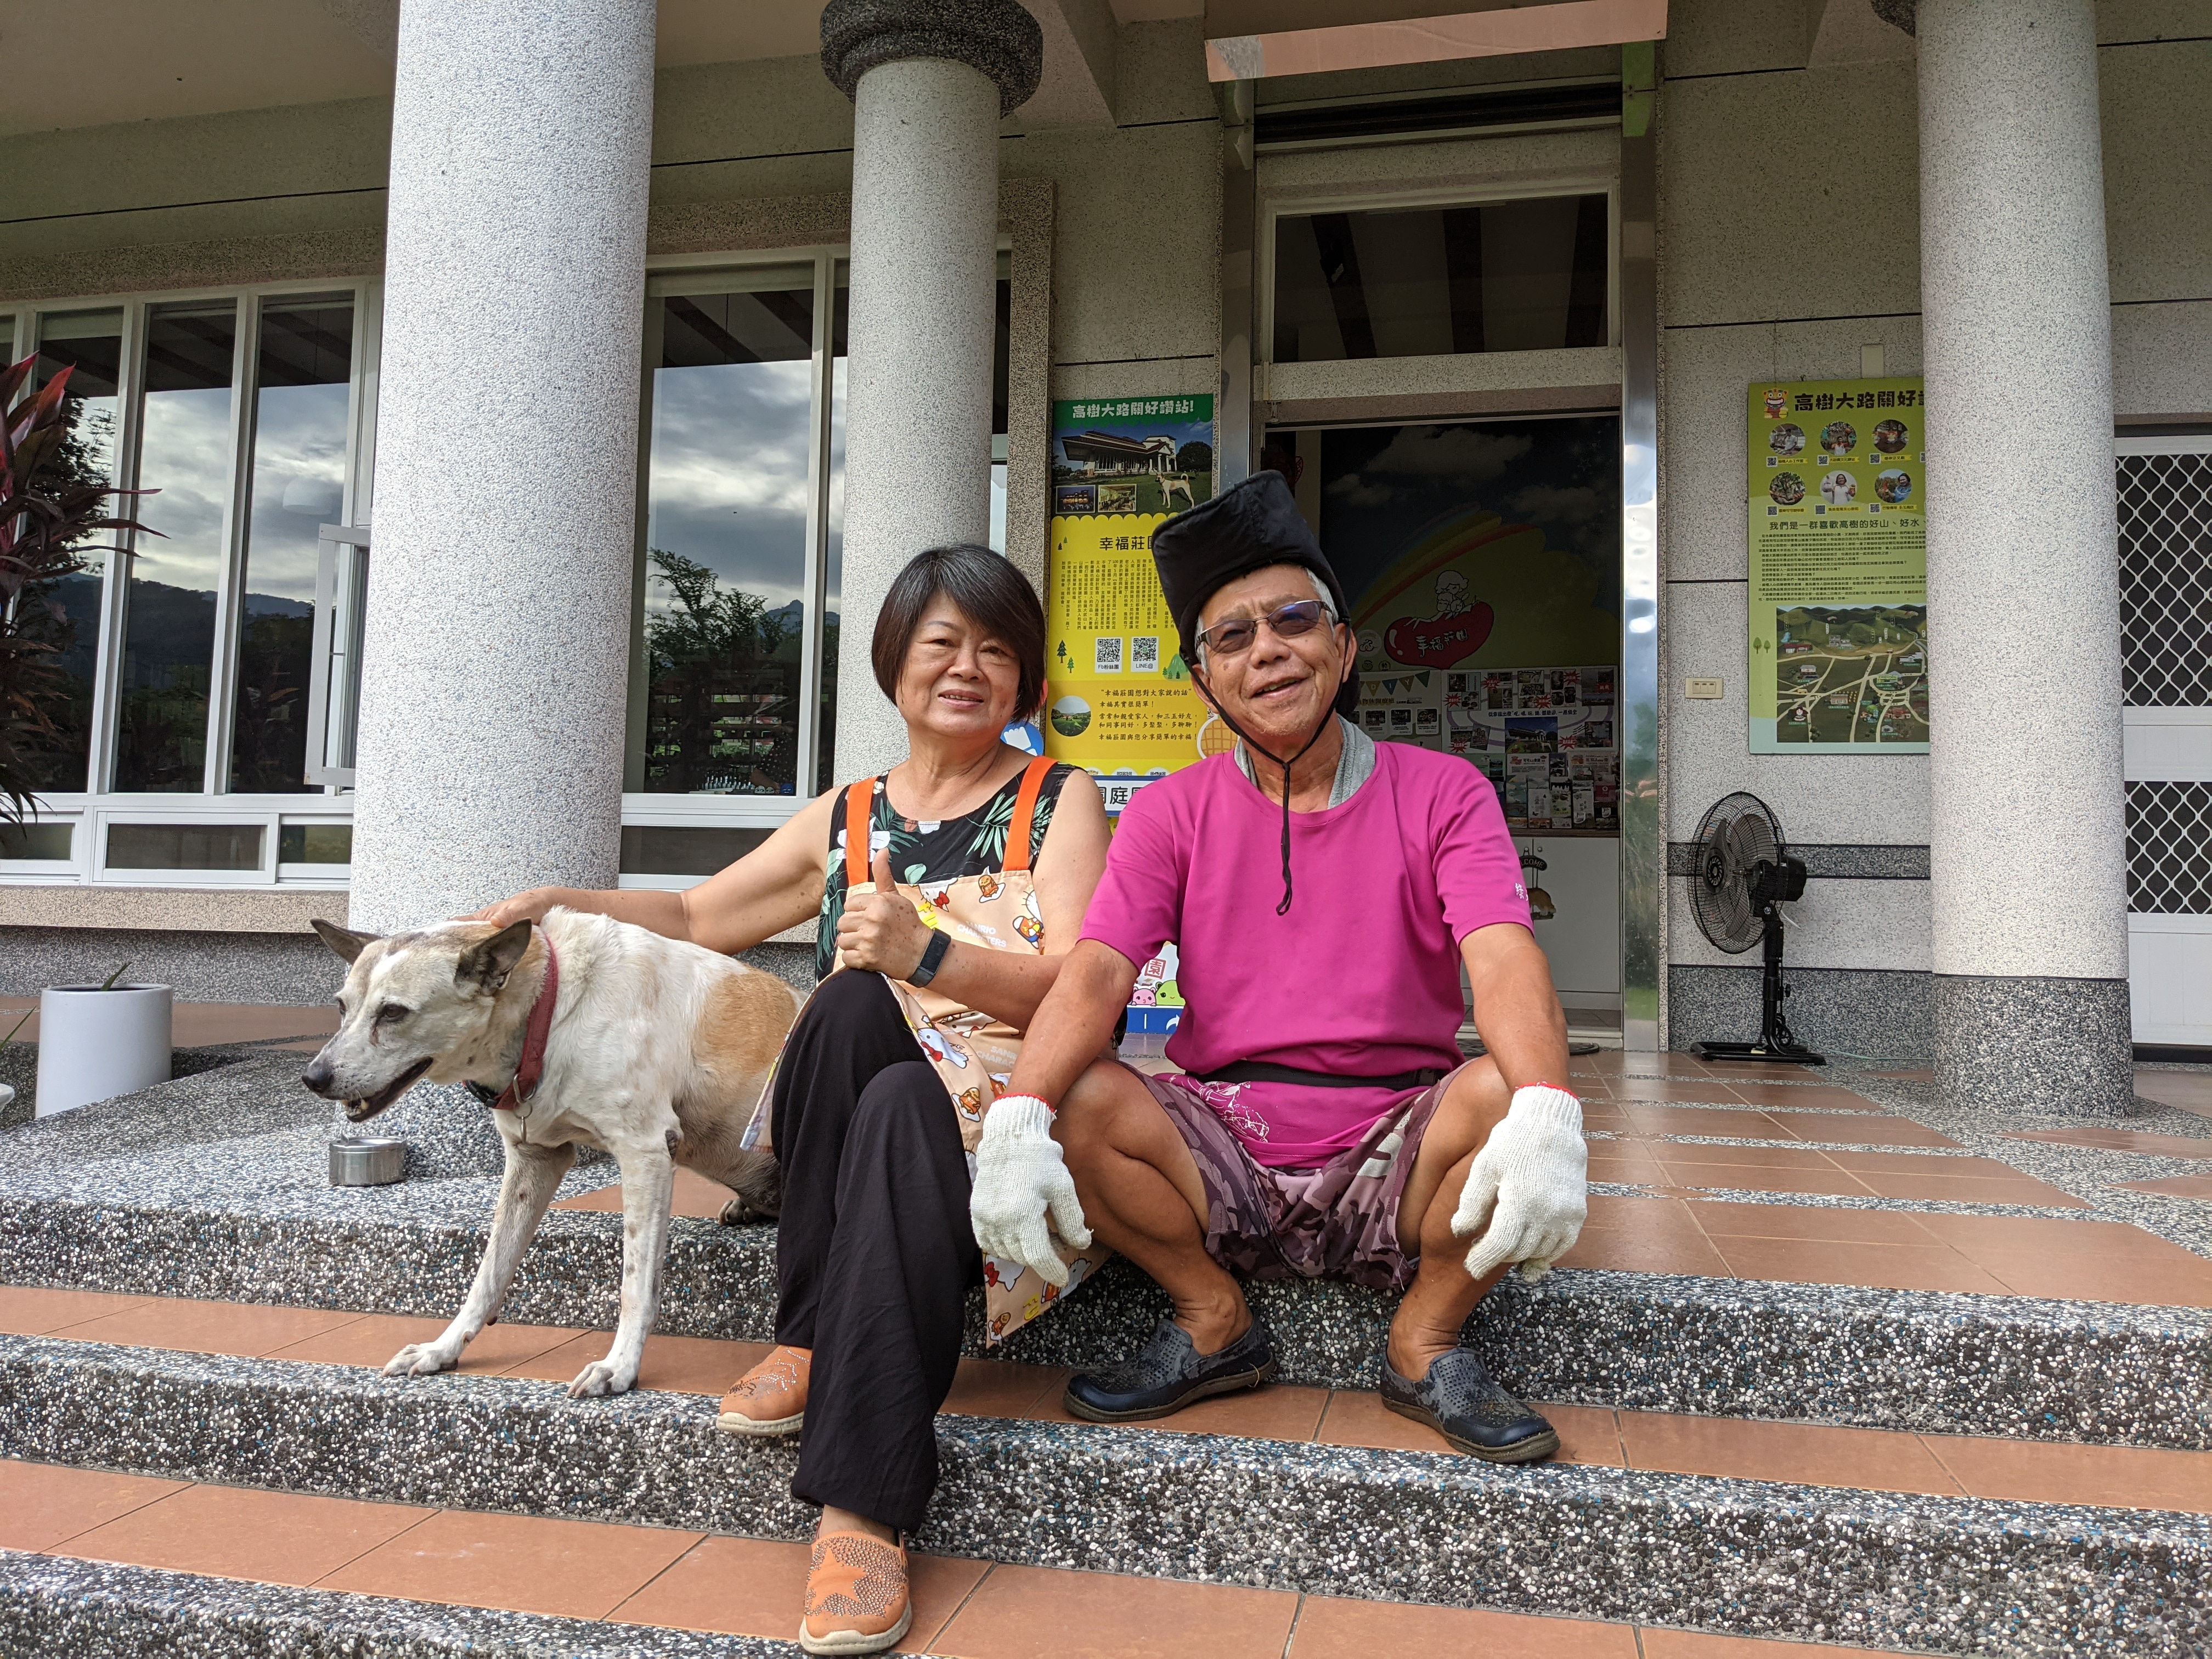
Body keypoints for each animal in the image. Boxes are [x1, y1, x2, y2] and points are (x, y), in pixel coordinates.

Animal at [303, 911, 800, 1407]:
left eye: (393, 1012)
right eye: (342, 1007)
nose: (313, 1078)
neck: (554, 1008)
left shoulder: (646, 1152)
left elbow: (635, 1284)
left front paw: (619, 1367)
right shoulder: (533, 1161)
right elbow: (489, 1275)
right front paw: (442, 1349)